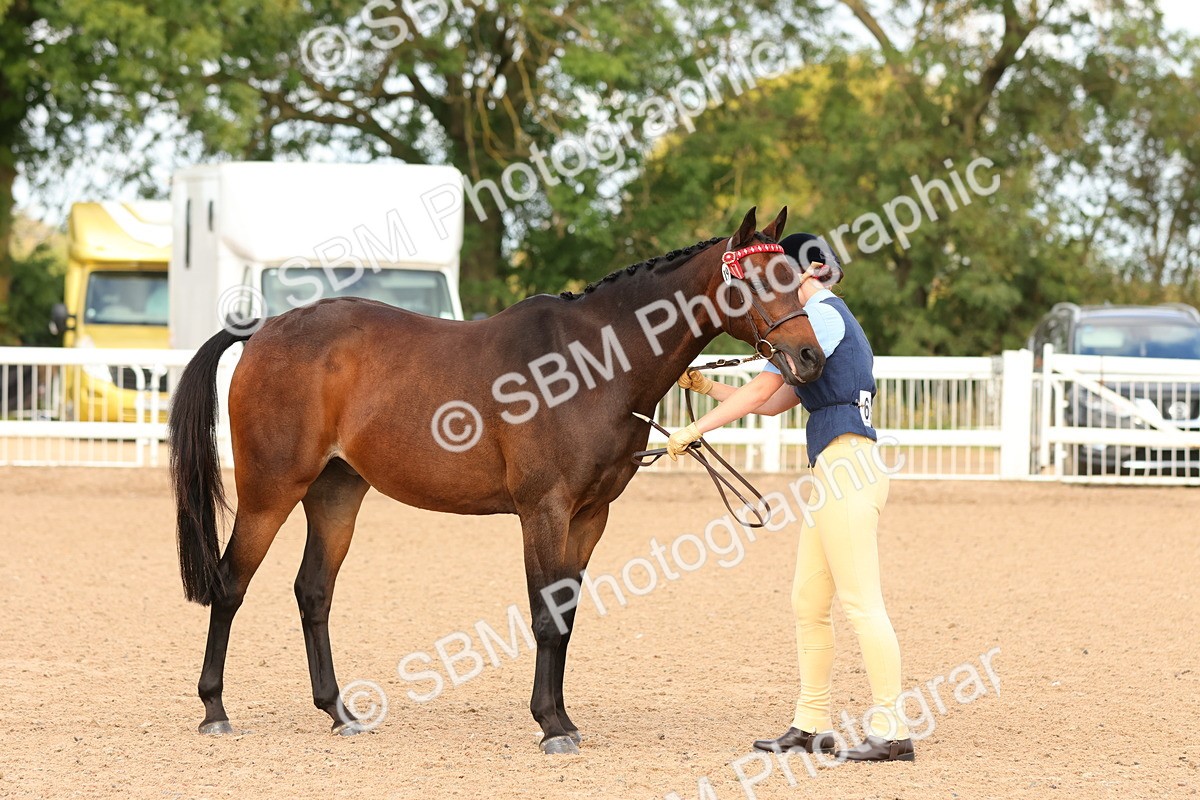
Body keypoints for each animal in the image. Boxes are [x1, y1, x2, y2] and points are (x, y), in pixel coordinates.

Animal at [168, 206, 826, 755]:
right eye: (756, 278)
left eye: (794, 276)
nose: (810, 358)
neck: (590, 363)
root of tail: (264, 330)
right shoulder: (544, 510)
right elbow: (544, 615)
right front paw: (551, 726)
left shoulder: (590, 516)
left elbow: (566, 617)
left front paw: (562, 717)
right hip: (270, 492)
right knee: (230, 586)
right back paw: (215, 711)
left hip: (336, 494)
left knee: (313, 593)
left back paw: (339, 712)